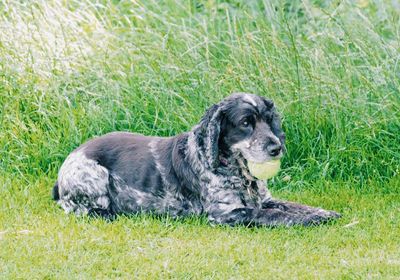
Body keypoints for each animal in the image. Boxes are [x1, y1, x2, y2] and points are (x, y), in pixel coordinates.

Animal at [52, 93, 340, 226]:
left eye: (269, 121)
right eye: (245, 123)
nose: (276, 148)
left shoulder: (266, 198)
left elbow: (294, 205)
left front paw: (323, 212)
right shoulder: (224, 213)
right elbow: (270, 214)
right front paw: (310, 220)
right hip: (93, 175)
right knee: (78, 208)